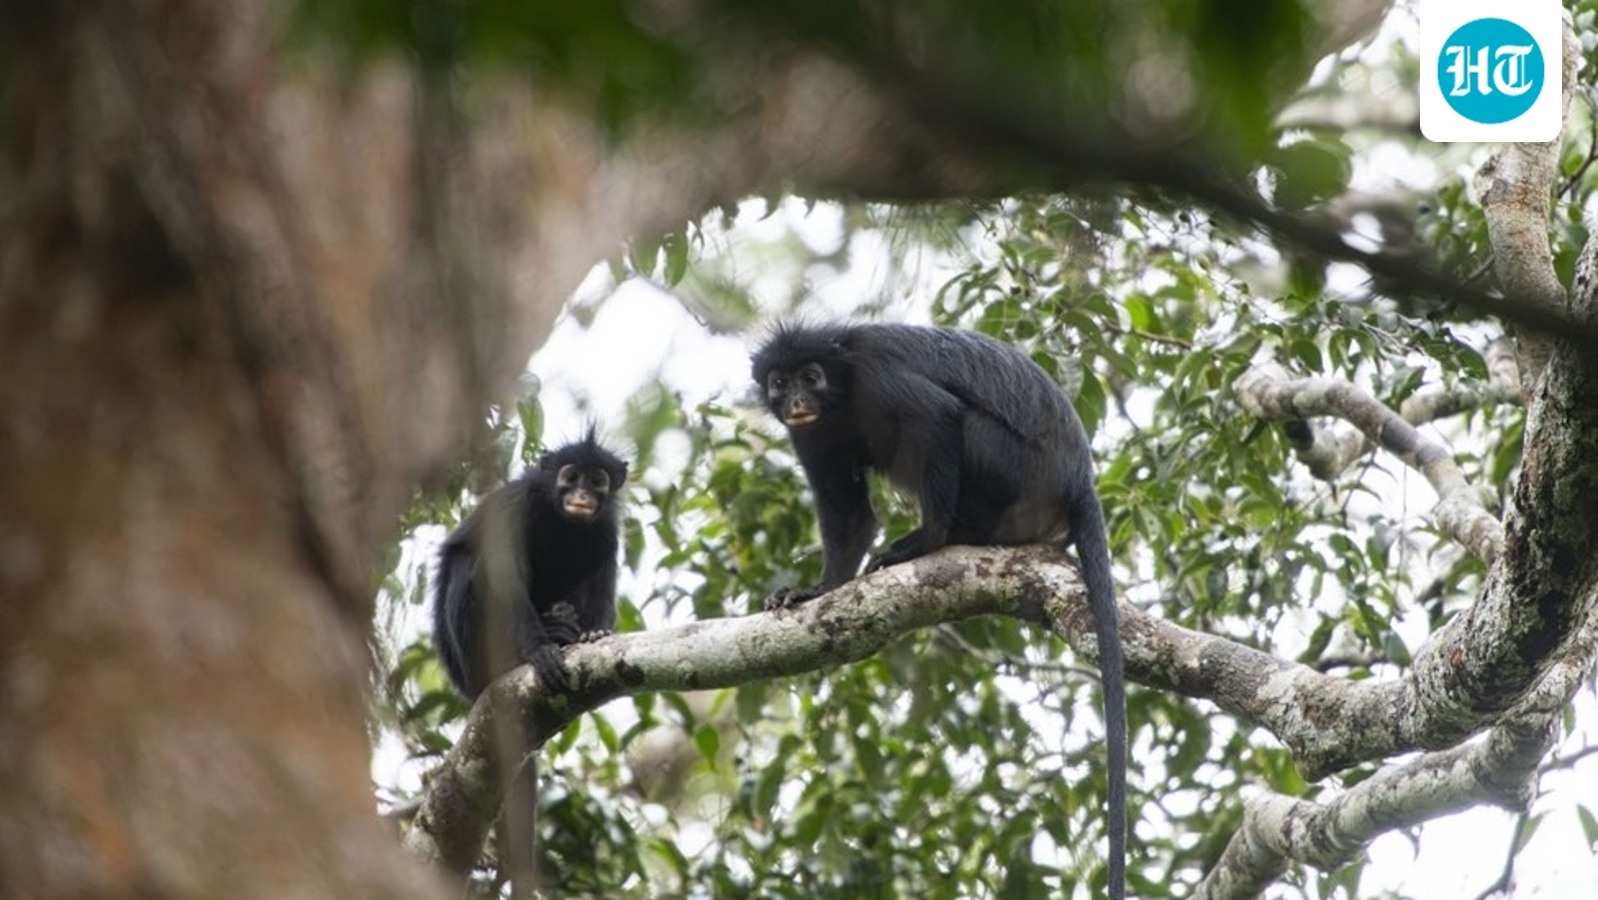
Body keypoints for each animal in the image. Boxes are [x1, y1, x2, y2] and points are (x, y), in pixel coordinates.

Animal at [432, 430, 629, 698]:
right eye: (571, 478)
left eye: (596, 481)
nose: (581, 495)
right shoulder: (516, 505)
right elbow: (502, 577)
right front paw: (539, 650)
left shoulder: (606, 529)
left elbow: (602, 584)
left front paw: (596, 631)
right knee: (467, 564)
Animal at [751, 322, 1127, 900]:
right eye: (780, 381)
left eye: (810, 377)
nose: (795, 400)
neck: (841, 392)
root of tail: (1077, 478)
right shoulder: (811, 435)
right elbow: (850, 516)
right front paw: (815, 592)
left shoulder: (876, 375)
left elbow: (939, 416)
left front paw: (927, 540)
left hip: (1016, 470)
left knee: (962, 424)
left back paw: (955, 534)